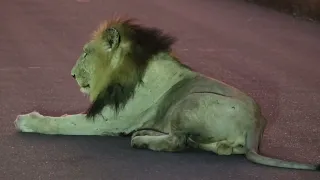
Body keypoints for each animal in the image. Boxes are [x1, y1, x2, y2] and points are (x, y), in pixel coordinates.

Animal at [14, 16, 320, 172]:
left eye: (86, 53)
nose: (72, 75)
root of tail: (257, 128)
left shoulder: (109, 119)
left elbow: (63, 122)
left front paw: (27, 120)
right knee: (208, 146)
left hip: (189, 101)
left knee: (177, 142)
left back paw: (142, 140)